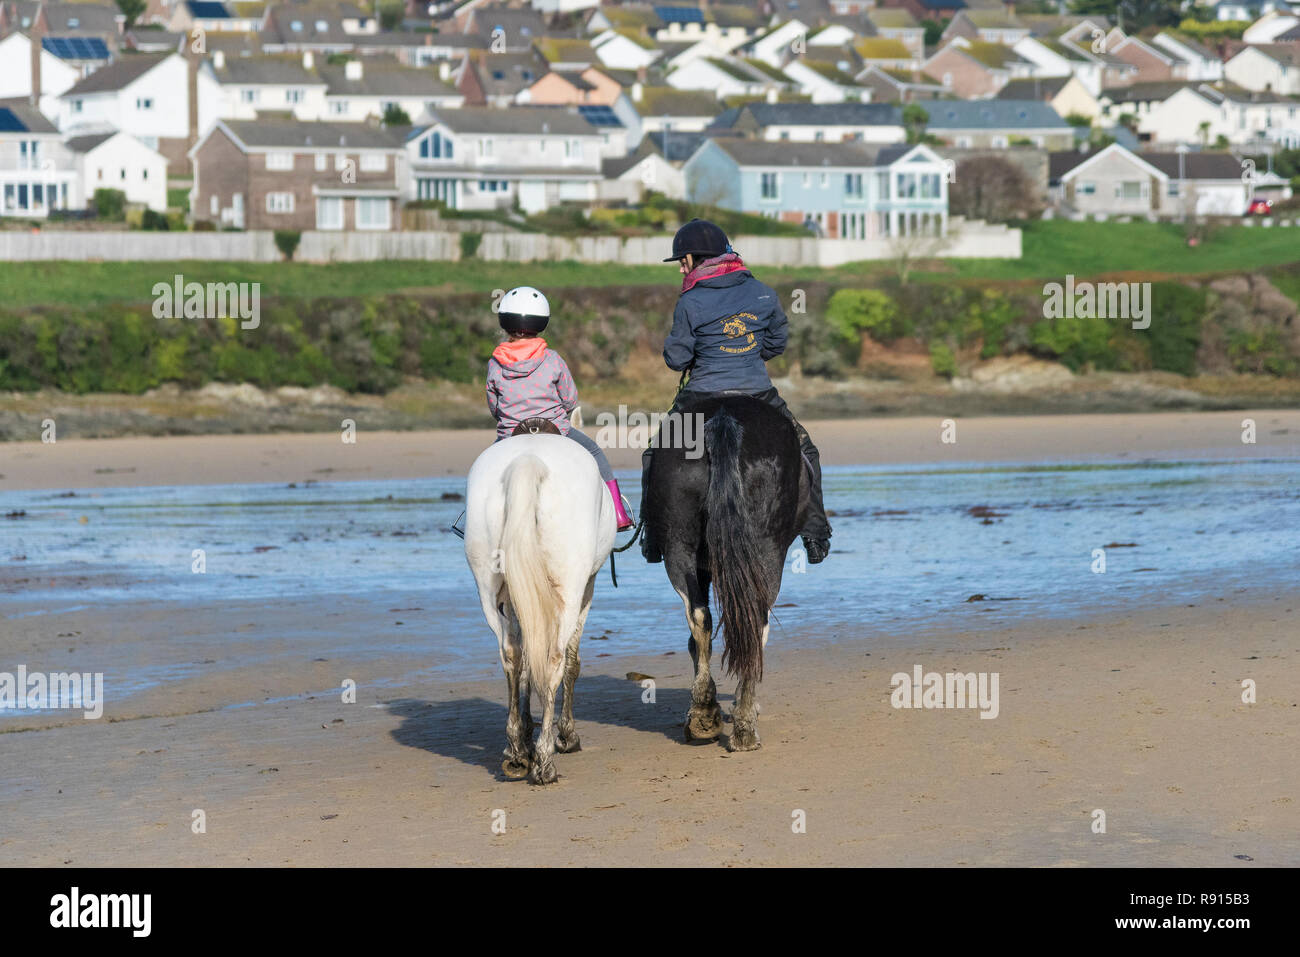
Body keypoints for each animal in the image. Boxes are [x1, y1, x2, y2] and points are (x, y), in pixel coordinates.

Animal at [464, 430, 616, 784]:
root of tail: (527, 460)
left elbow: (523, 665)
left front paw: (524, 736)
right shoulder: (587, 588)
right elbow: (572, 662)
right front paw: (566, 736)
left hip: (488, 590)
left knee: (511, 654)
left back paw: (517, 754)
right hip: (570, 588)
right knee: (555, 659)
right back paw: (545, 760)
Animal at [642, 394, 807, 752]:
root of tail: (723, 420)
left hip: (679, 549)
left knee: (700, 617)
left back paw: (704, 715)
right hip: (767, 551)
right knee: (756, 622)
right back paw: (744, 724)